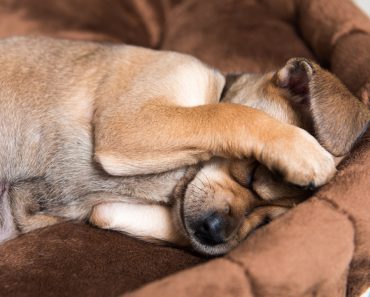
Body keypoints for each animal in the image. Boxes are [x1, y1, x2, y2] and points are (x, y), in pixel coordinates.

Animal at [0, 37, 368, 254]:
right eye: (252, 172)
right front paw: (302, 150)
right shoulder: (129, 122)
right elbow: (225, 113)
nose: (215, 233)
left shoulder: (108, 210)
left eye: (267, 222)